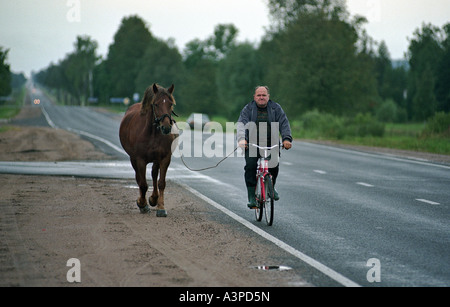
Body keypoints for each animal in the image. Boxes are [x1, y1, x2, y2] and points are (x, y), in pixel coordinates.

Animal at [119, 84, 178, 218]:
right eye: (156, 104)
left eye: (170, 104)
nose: (166, 127)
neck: (153, 133)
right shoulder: (140, 160)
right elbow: (143, 184)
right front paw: (142, 204)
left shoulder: (164, 158)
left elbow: (161, 182)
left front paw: (161, 207)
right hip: (133, 159)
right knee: (139, 178)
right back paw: (144, 203)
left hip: (156, 160)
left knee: (154, 174)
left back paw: (153, 198)